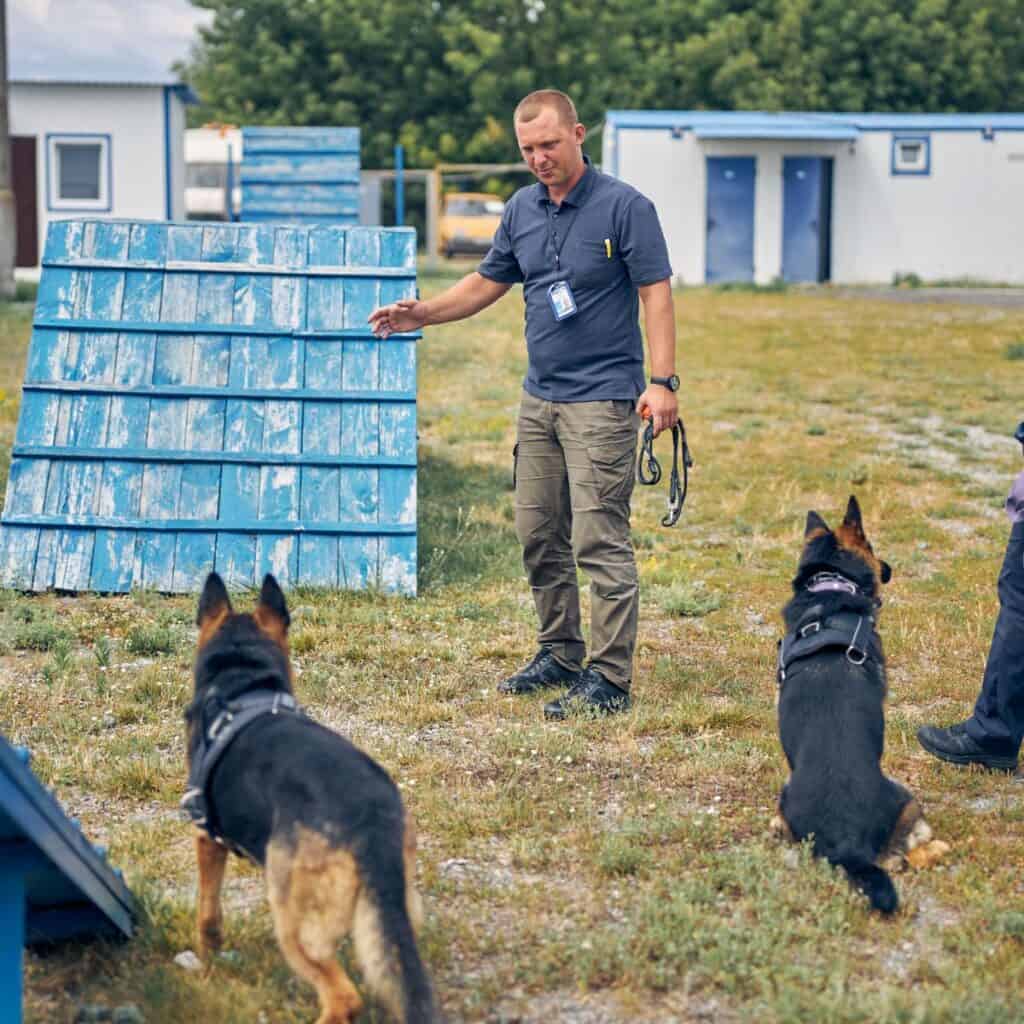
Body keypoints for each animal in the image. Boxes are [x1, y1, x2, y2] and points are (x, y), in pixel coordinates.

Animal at [182, 573, 438, 1019]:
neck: (242, 685)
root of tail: (370, 823)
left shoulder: (206, 840)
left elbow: (208, 916)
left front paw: (208, 962)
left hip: (292, 922)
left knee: (343, 998)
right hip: (397, 908)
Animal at [770, 495, 942, 913]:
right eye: (873, 546)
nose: (890, 568)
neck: (829, 585)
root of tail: (848, 843)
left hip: (786, 796)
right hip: (906, 799)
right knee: (907, 854)